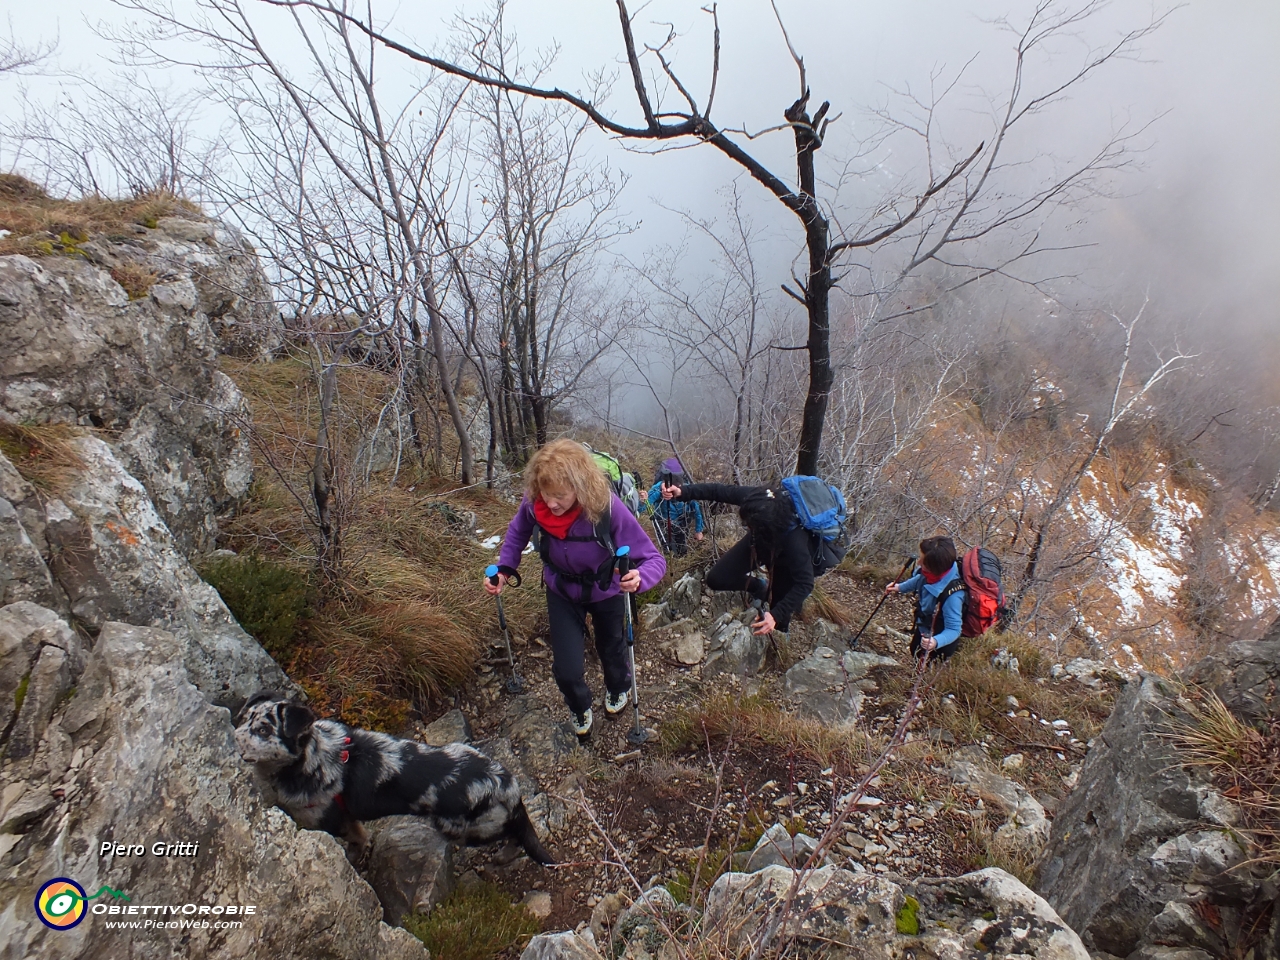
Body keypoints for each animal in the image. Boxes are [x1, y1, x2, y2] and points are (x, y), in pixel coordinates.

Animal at [235, 691, 555, 865]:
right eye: (245, 718)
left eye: (264, 730)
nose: (234, 737)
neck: (311, 758)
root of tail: (505, 782)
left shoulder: (334, 821)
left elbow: (357, 842)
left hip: (464, 830)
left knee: (514, 833)